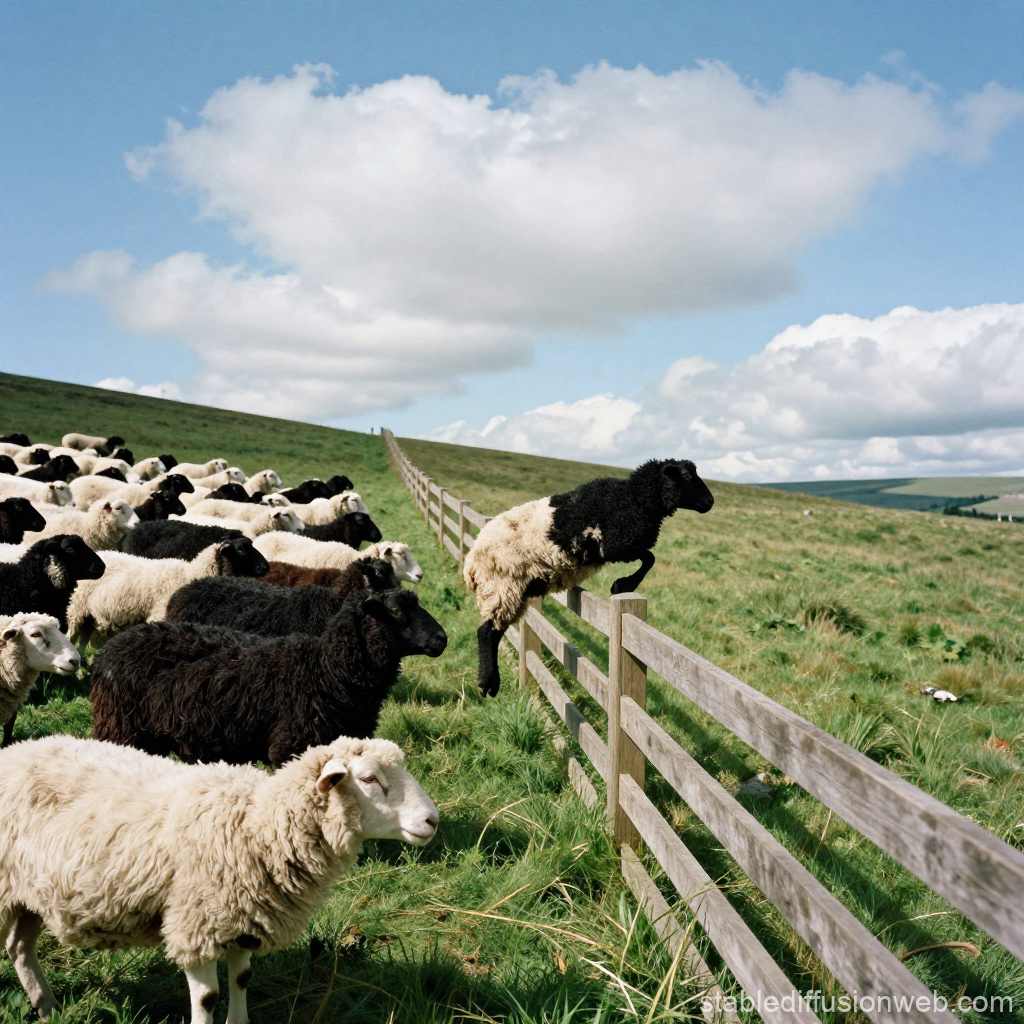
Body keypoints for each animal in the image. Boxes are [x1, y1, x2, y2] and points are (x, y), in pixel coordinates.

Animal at [0, 734, 438, 1023]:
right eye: (368, 779)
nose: (432, 820)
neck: (256, 824)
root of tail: (14, 750)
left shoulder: (244, 919)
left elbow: (242, 978)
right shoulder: (197, 923)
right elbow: (208, 997)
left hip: (28, 894)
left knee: (19, 947)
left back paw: (47, 1006)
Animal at [67, 538, 270, 640]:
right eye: (241, 550)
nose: (267, 567)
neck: (190, 574)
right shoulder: (160, 614)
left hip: (89, 616)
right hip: (77, 609)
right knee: (72, 638)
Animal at [91, 585, 447, 768]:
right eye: (397, 611)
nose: (442, 638)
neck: (327, 669)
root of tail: (108, 650)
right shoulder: (293, 746)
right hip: (122, 730)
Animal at [466, 459, 715, 696]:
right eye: (686, 475)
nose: (710, 501)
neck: (635, 498)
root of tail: (471, 561)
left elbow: (649, 558)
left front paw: (623, 584)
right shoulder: (615, 545)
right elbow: (649, 558)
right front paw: (623, 585)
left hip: (514, 589)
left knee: (496, 631)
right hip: (503, 584)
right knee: (486, 632)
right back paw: (488, 682)